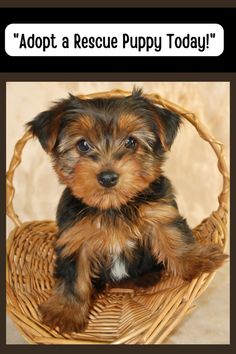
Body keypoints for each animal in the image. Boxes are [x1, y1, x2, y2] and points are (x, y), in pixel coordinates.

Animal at [26, 88, 228, 332]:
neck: (113, 206)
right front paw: (66, 312)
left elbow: (174, 237)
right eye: (83, 145)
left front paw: (196, 260)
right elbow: (73, 276)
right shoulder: (75, 238)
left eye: (131, 142)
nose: (107, 177)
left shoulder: (159, 212)